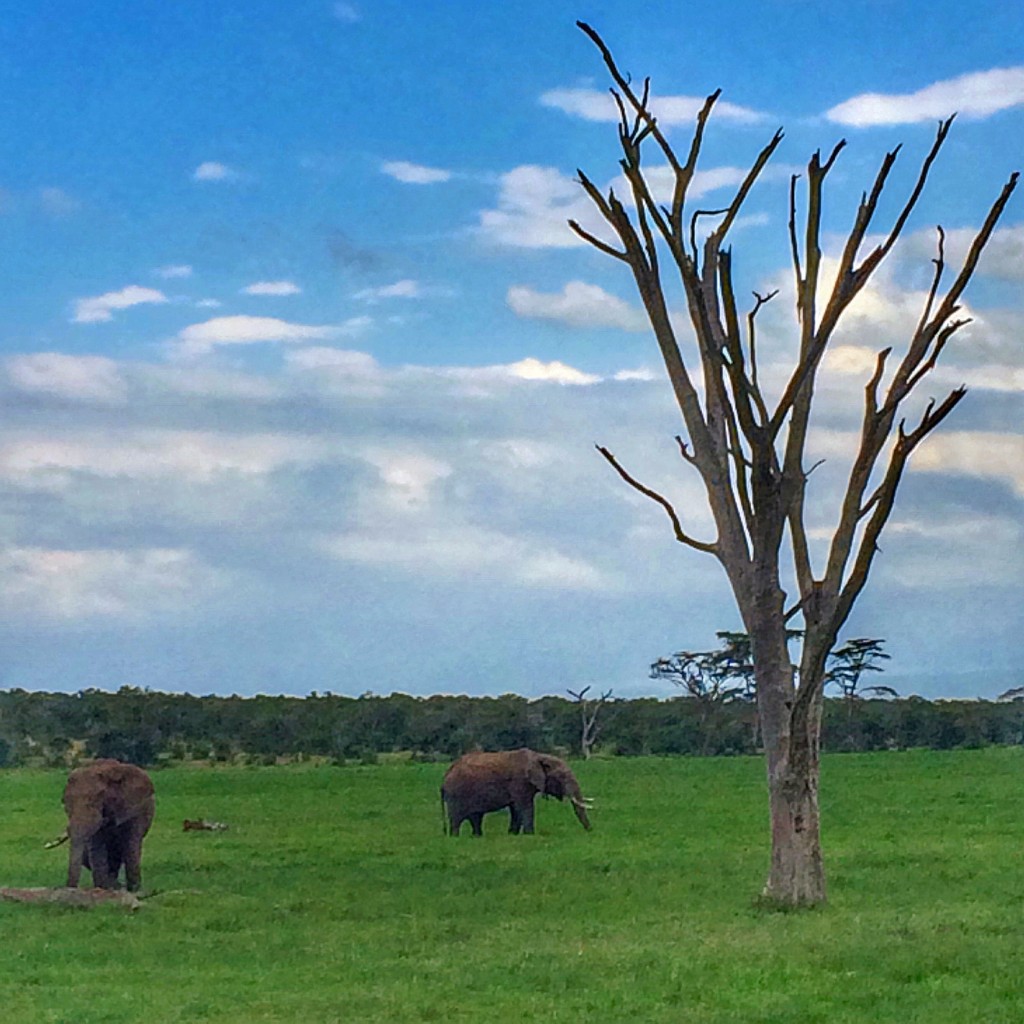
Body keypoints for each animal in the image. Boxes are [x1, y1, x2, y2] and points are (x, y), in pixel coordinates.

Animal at [59, 757, 154, 892]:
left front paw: (134, 890)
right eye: (65, 803)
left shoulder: (135, 808)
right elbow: (97, 847)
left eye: (97, 801)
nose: (70, 888)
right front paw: (103, 888)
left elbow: (131, 844)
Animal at [440, 749, 593, 835]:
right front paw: (530, 835)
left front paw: (512, 834)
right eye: (562, 777)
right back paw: (455, 837)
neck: (539, 757)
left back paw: (476, 836)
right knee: (456, 820)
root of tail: (444, 777)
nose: (590, 831)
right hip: (456, 795)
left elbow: (516, 809)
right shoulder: (520, 782)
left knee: (476, 818)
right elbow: (525, 807)